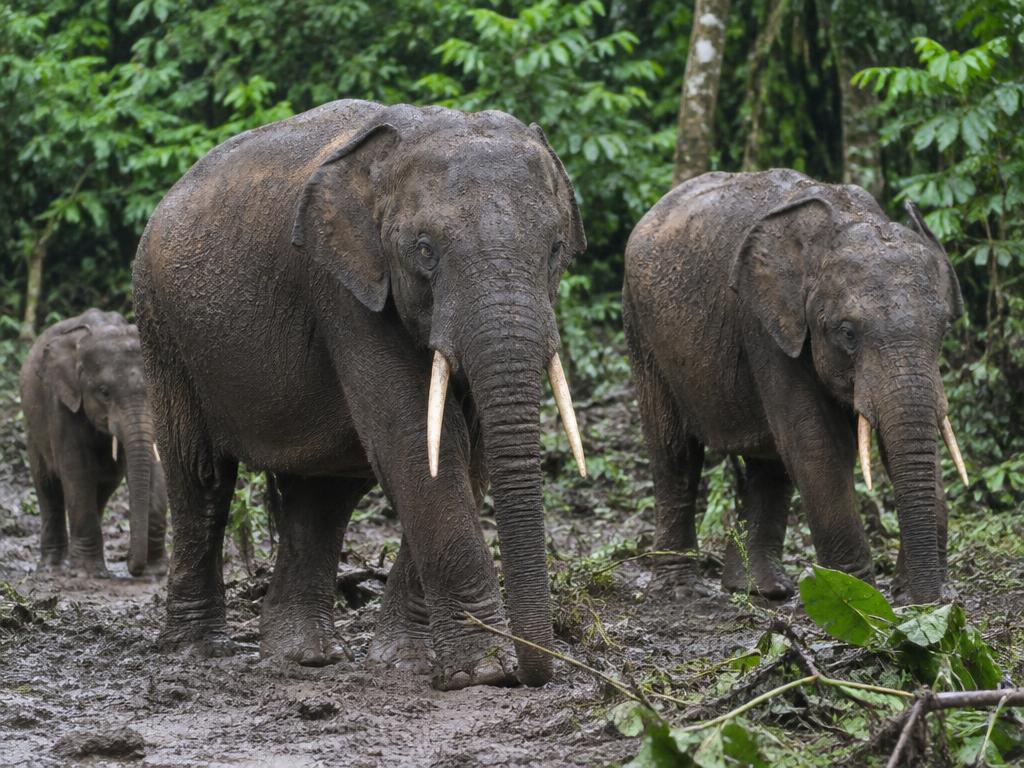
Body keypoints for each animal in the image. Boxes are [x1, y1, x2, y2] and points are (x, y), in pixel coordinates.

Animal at [20, 309, 167, 577]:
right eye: (104, 392)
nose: (129, 563)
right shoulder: (61, 401)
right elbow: (76, 470)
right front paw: (88, 573)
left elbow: (155, 468)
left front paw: (156, 572)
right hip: (32, 425)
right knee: (48, 486)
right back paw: (52, 568)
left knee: (104, 486)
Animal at [132, 99, 588, 690]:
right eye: (425, 251)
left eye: (555, 249)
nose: (534, 674)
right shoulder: (343, 289)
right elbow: (416, 436)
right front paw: (485, 672)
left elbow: (468, 447)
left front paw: (406, 663)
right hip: (161, 326)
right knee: (201, 476)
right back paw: (200, 651)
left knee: (321, 495)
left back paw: (301, 657)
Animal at [623, 169, 968, 604]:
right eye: (847, 333)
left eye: (942, 329)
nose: (926, 599)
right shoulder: (765, 327)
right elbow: (817, 445)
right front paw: (856, 598)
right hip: (642, 329)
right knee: (675, 452)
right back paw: (682, 591)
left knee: (768, 464)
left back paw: (761, 589)